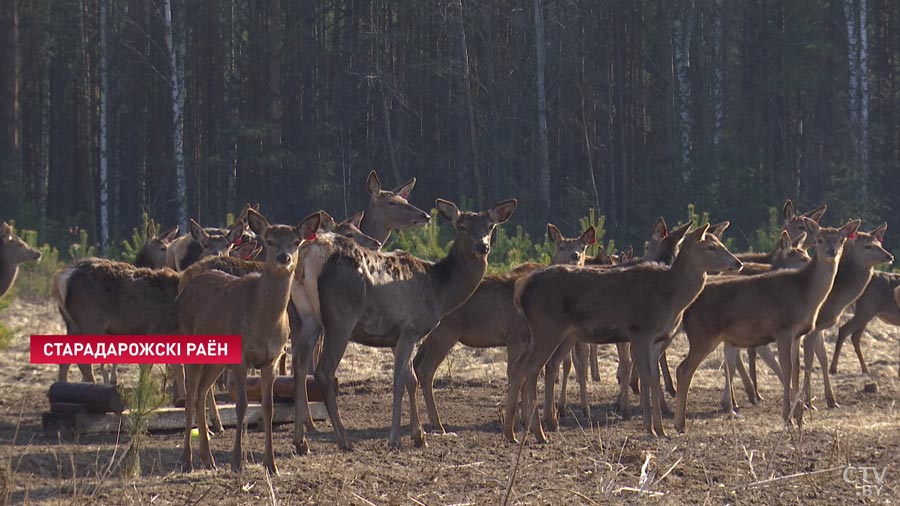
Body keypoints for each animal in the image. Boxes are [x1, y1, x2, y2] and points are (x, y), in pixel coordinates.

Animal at [176, 209, 320, 474]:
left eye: (296, 242)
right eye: (270, 241)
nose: (284, 258)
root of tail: (185, 286)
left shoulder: (271, 358)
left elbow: (268, 406)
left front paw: (271, 464)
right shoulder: (242, 356)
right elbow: (241, 405)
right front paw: (237, 461)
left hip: (216, 359)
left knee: (201, 392)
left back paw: (208, 457)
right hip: (190, 342)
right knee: (190, 396)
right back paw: (187, 459)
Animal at [288, 198, 512, 450]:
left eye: (490, 227)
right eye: (462, 227)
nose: (482, 247)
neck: (440, 290)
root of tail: (308, 255)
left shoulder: (397, 336)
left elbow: (410, 379)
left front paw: (419, 435)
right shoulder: (410, 328)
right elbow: (398, 382)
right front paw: (395, 438)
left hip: (307, 315)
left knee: (299, 365)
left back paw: (300, 441)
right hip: (340, 316)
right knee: (324, 371)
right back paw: (344, 440)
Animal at [412, 223, 596, 432]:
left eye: (583, 247)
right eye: (561, 247)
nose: (575, 256)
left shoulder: (526, 340)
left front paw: (525, 421)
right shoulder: (515, 336)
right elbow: (517, 373)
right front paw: (520, 422)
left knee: (415, 364)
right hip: (445, 333)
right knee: (425, 370)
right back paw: (437, 423)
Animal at [502, 223, 740, 440]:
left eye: (721, 243)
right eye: (711, 247)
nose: (737, 263)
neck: (671, 297)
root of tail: (521, 290)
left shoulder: (656, 340)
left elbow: (654, 377)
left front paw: (661, 429)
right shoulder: (640, 331)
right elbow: (645, 376)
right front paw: (650, 427)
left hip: (551, 334)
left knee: (521, 367)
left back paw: (512, 431)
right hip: (547, 329)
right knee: (531, 369)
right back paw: (538, 431)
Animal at [676, 216, 856, 430]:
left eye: (841, 240)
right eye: (819, 239)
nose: (831, 252)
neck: (805, 294)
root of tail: (686, 308)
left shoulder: (798, 333)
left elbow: (796, 369)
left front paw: (800, 418)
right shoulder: (783, 327)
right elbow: (786, 368)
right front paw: (788, 418)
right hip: (703, 334)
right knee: (683, 369)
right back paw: (680, 425)